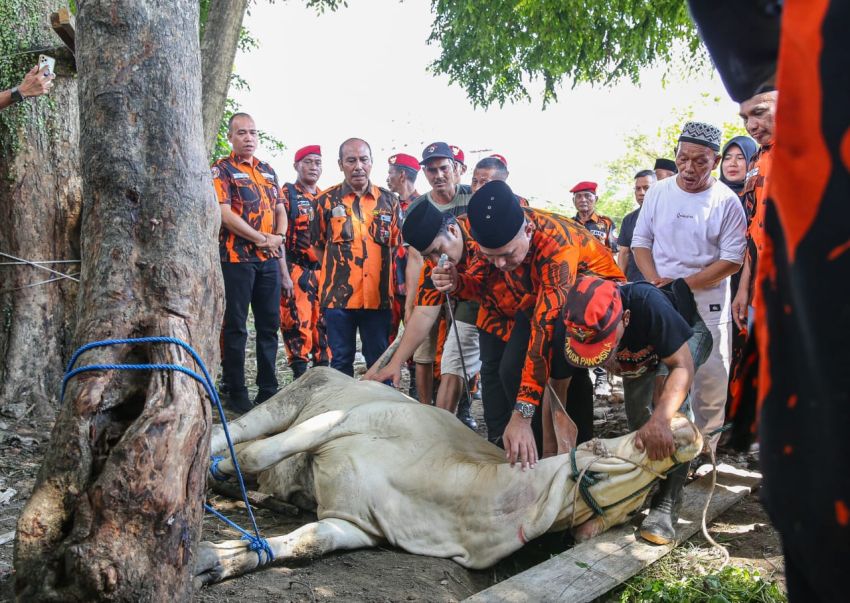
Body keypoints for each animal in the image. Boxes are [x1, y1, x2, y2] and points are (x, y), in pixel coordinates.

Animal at [195, 366, 700, 588]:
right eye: (598, 450)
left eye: (632, 512)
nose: (685, 429)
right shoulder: (340, 421)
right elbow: (256, 453)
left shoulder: (357, 525)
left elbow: (306, 543)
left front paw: (219, 560)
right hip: (290, 399)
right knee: (234, 433)